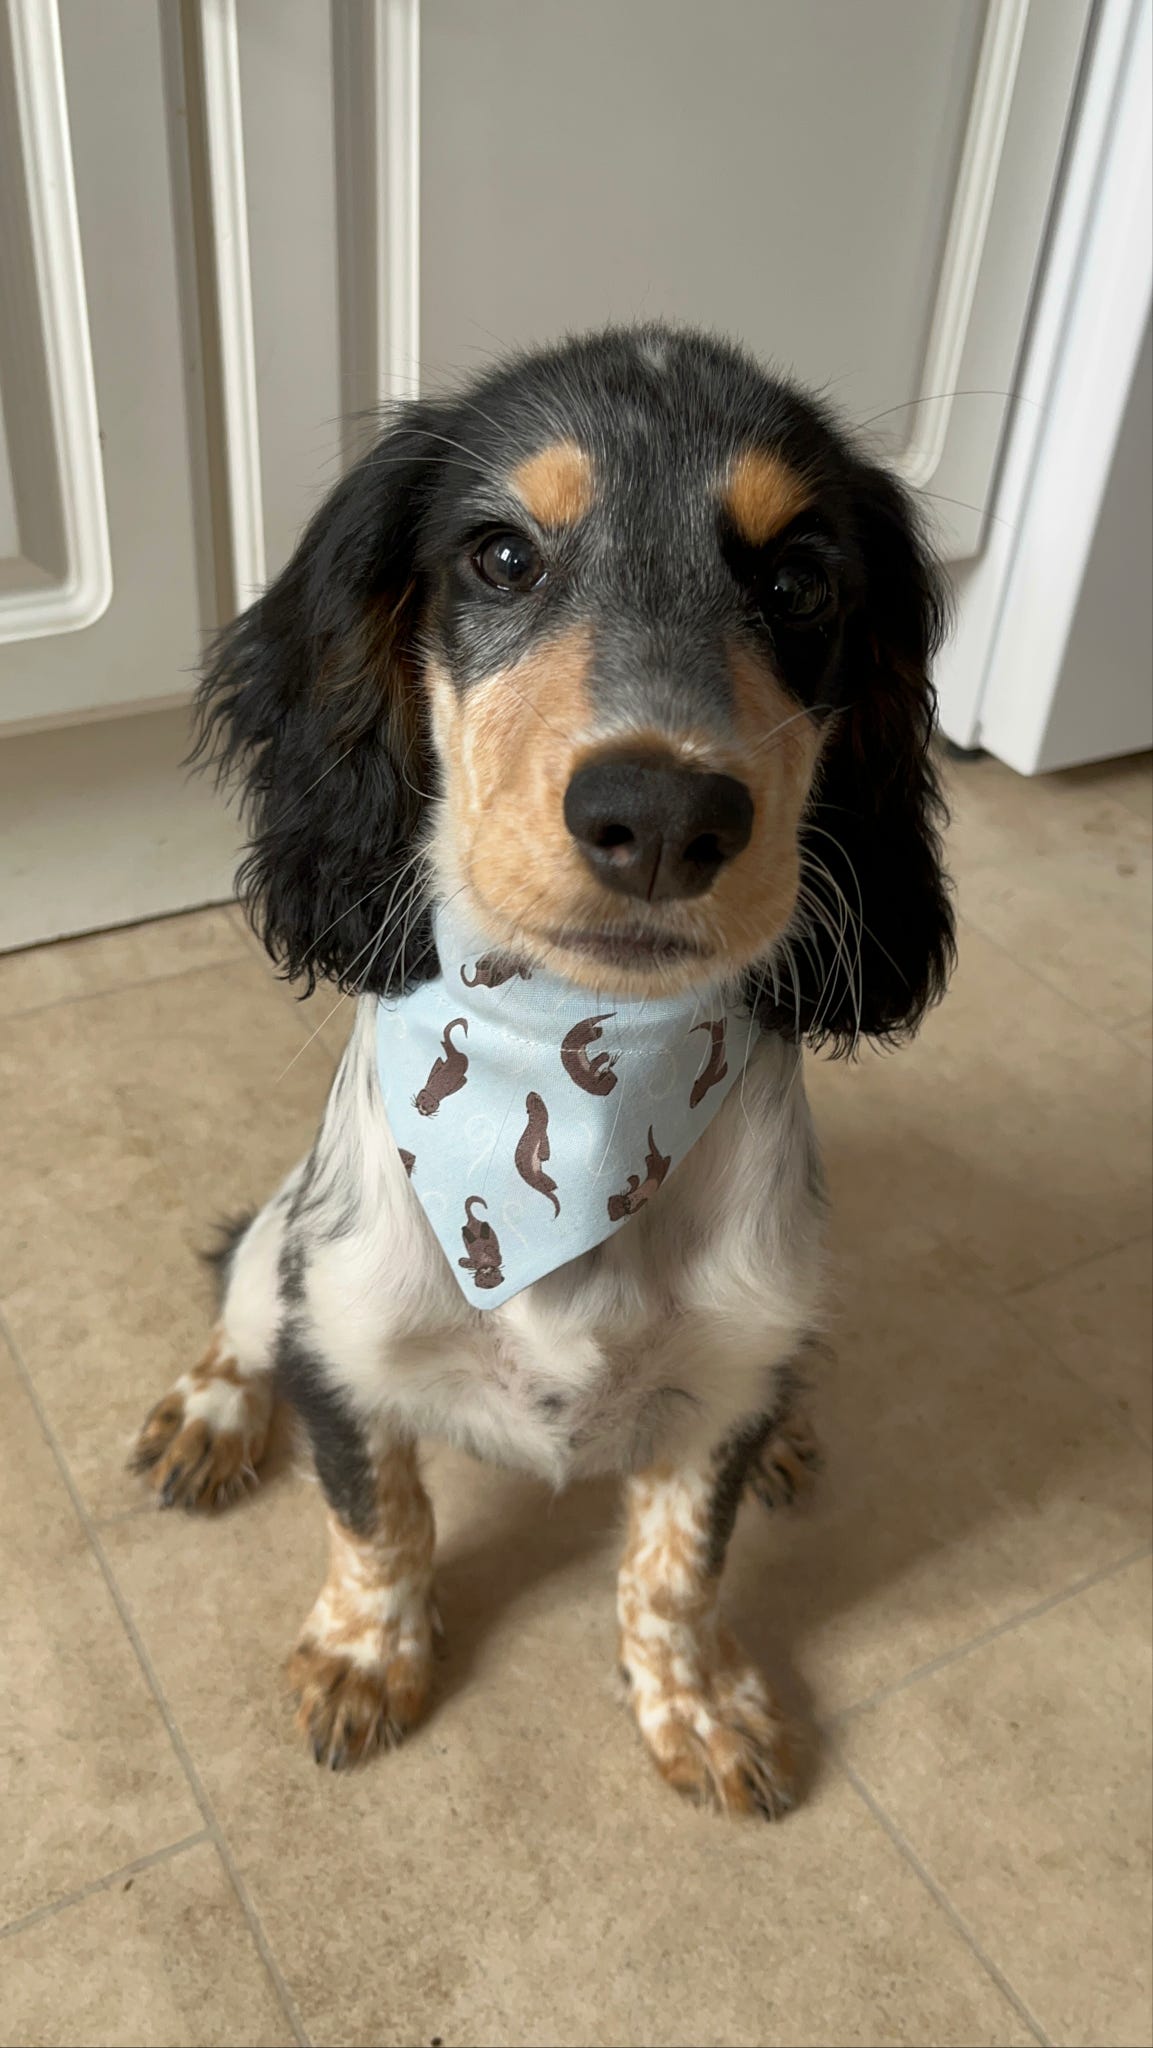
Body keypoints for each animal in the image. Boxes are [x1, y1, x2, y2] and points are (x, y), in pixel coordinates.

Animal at [131, 323, 950, 1826]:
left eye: (800, 580)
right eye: (502, 556)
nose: (664, 815)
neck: (587, 1084)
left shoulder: (726, 1369)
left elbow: (678, 1562)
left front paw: (698, 1700)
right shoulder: (349, 1325)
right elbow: (378, 1518)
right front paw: (367, 1655)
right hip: (290, 1241)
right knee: (245, 1282)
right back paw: (209, 1410)